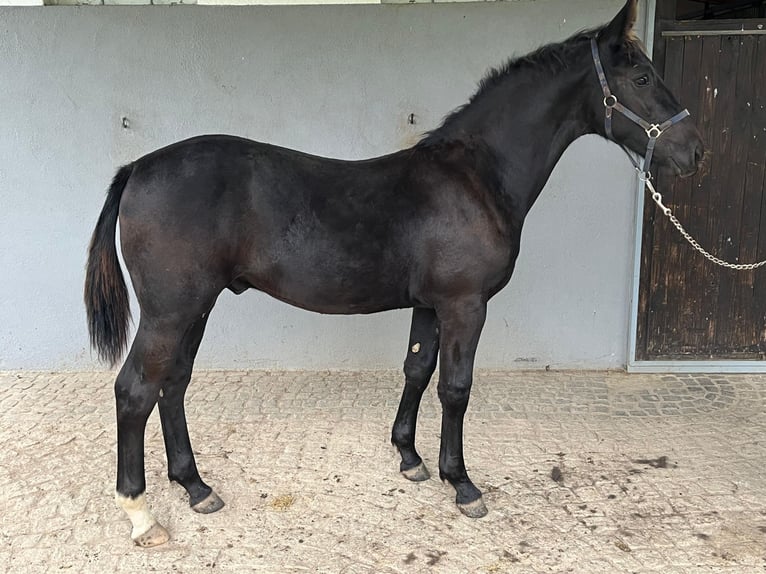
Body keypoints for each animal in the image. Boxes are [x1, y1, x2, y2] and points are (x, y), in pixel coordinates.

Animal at [85, 0, 708, 548]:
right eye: (644, 76)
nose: (695, 152)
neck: (475, 177)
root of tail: (138, 168)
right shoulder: (465, 304)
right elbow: (455, 387)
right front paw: (462, 483)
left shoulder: (430, 304)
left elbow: (417, 370)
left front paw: (409, 458)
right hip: (171, 311)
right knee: (135, 390)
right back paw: (142, 515)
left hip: (197, 306)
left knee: (173, 384)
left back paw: (195, 486)